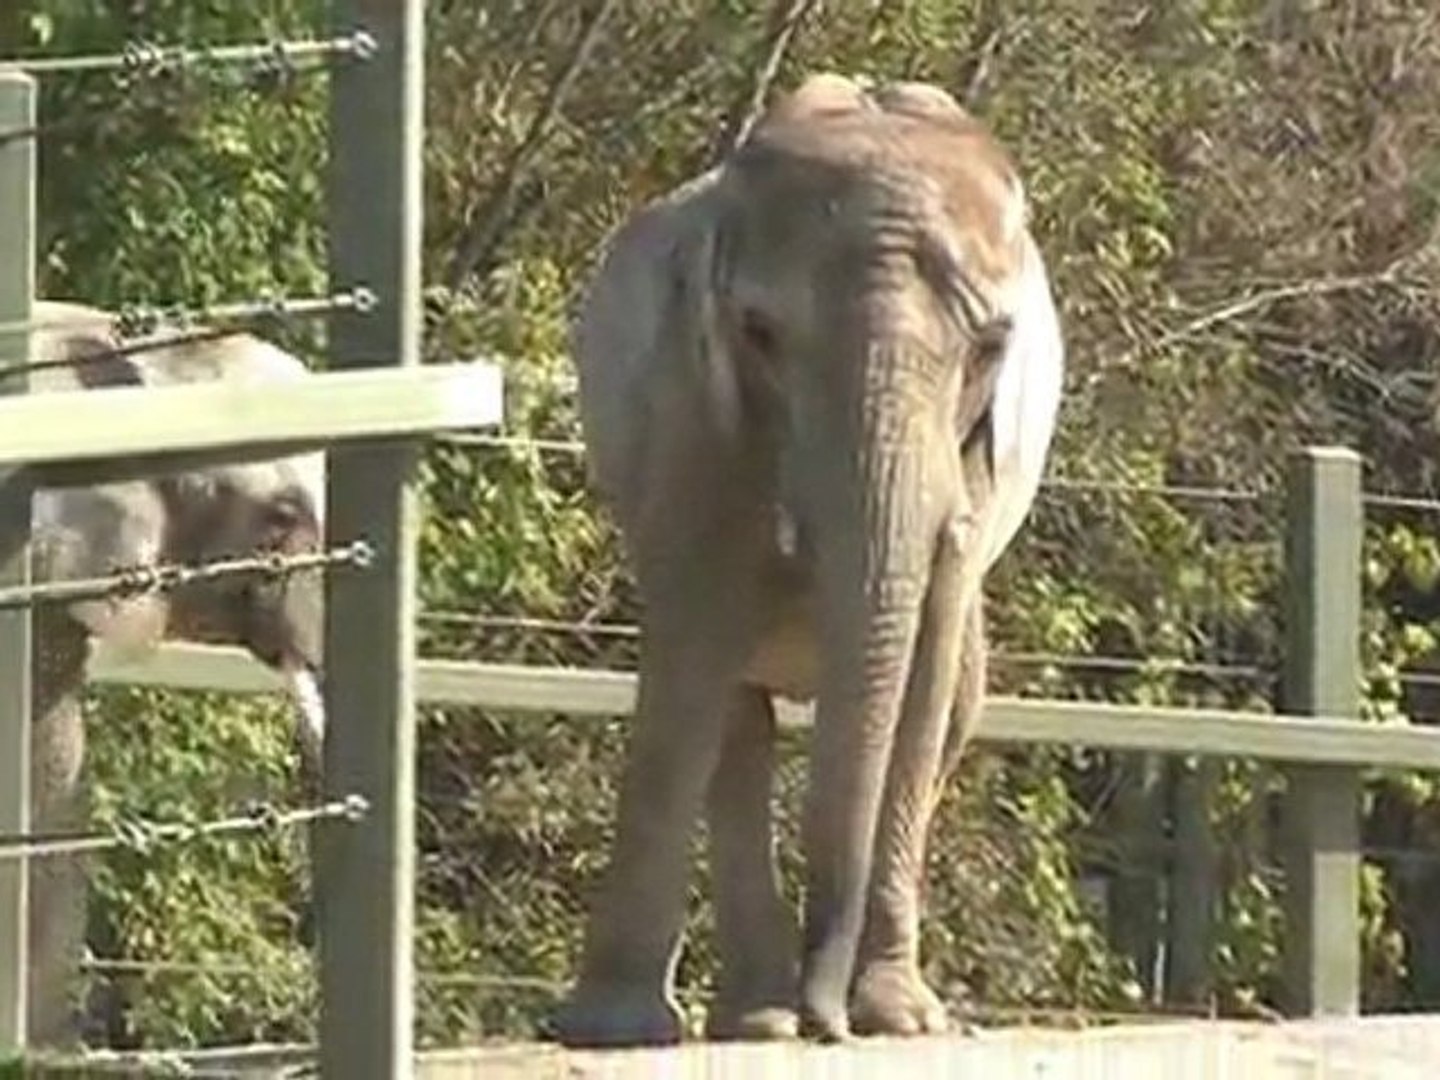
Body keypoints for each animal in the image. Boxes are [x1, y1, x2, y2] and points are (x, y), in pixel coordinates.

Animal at [555, 74, 1065, 1048]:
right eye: (758, 333)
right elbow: (693, 652)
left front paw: (899, 1020)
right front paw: (611, 1030)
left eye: (991, 347)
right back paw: (758, 1019)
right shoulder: (694, 413)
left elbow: (924, 679)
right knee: (737, 722)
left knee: (951, 706)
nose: (829, 1023)